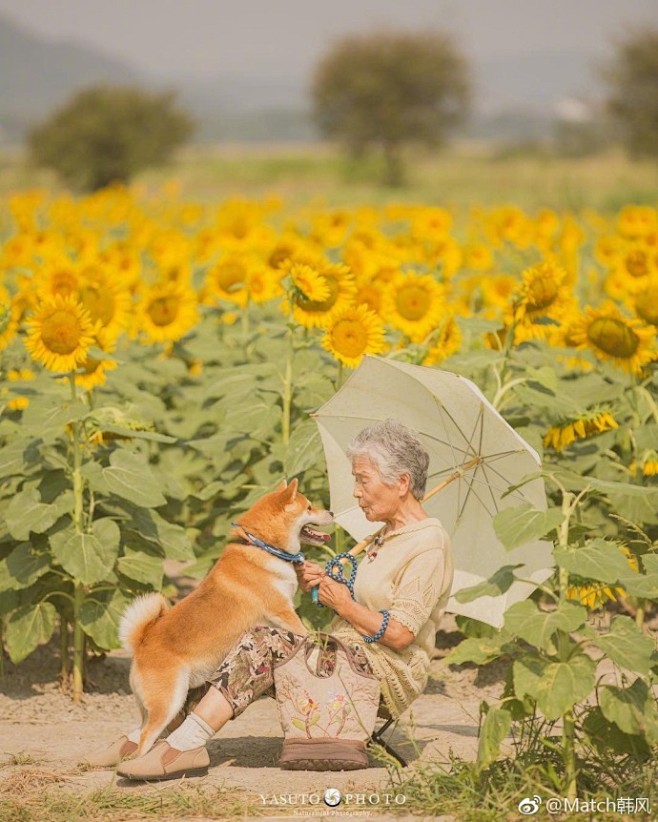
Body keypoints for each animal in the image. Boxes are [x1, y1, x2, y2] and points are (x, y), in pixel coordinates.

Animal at [118, 482, 330, 760]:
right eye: (309, 507)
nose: (331, 512)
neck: (261, 547)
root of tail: (141, 644)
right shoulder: (283, 611)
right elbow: (306, 633)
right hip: (169, 703)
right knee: (144, 740)